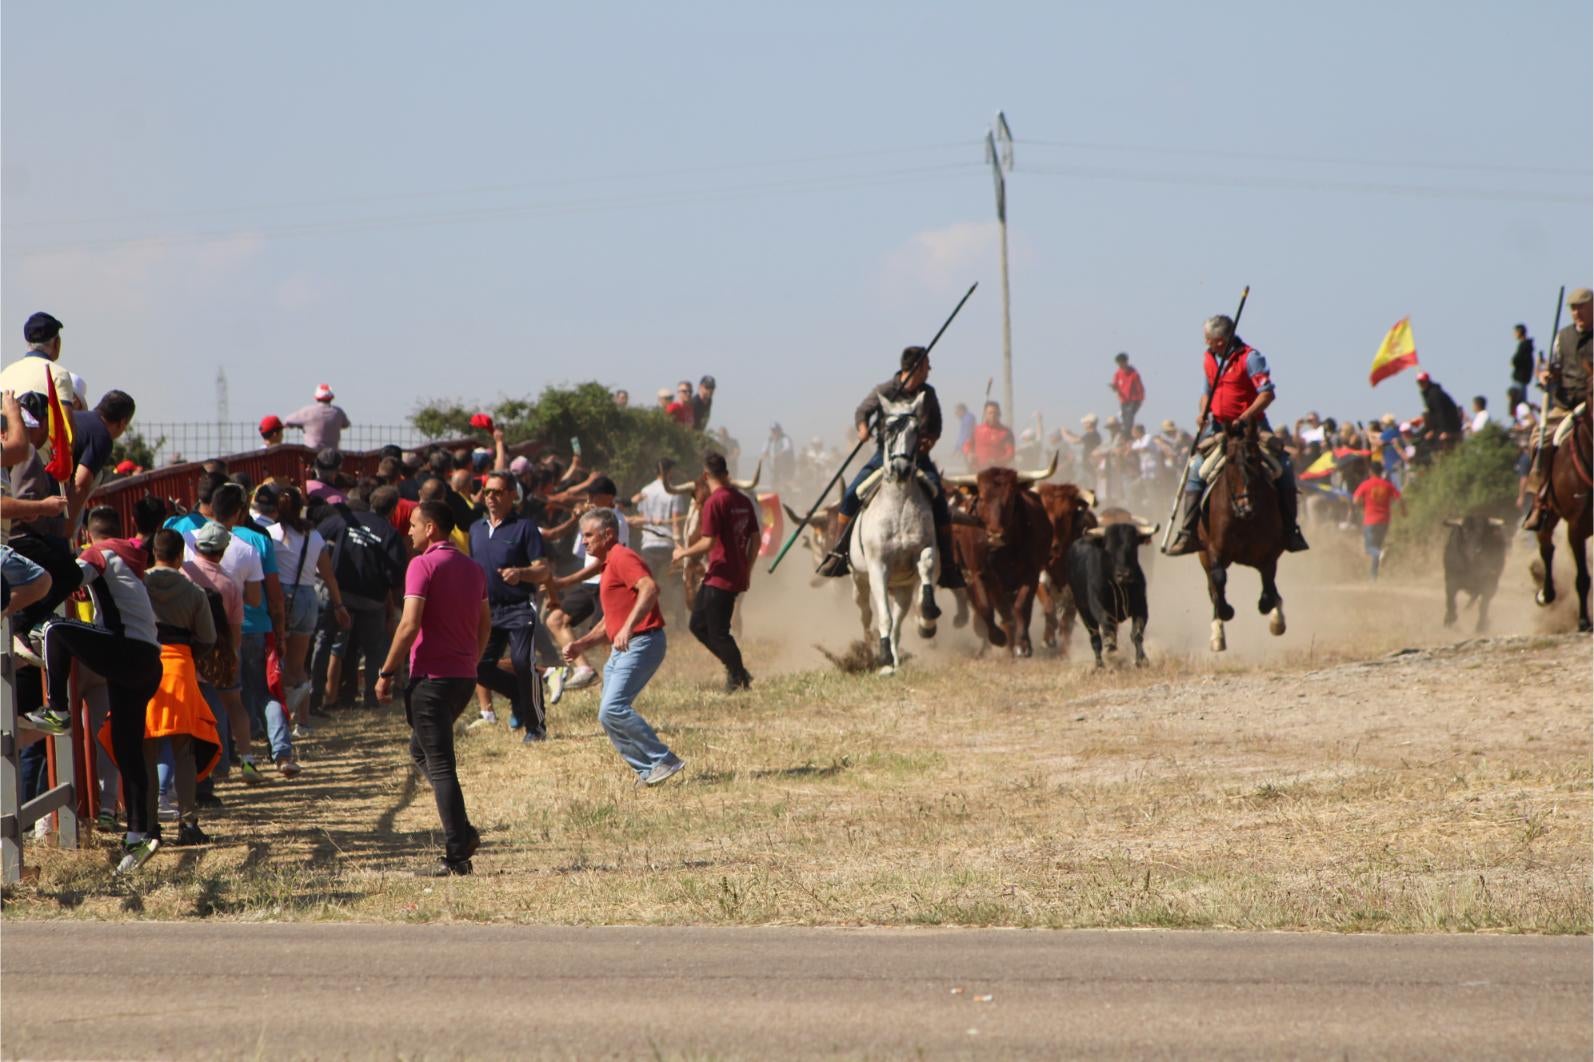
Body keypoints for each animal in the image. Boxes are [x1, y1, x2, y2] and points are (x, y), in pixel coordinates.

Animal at [854, 389, 937, 669]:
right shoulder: (878, 566)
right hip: (860, 581)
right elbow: (884, 618)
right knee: (867, 614)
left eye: (916, 430)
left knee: (898, 625)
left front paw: (928, 613)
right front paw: (884, 661)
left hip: (902, 589)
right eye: (887, 430)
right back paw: (873, 651)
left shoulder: (924, 549)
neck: (898, 506)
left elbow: (926, 563)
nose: (901, 469)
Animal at [943, 452, 1058, 653]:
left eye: (1011, 498)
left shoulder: (1031, 574)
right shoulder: (979, 573)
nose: (995, 535)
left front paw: (1023, 644)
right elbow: (986, 607)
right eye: (981, 497)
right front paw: (998, 637)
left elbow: (1021, 606)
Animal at [1032, 481, 1096, 653]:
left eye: (1067, 513)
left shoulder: (1075, 591)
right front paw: (1048, 639)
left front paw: (1065, 651)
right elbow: (1049, 607)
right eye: (1042, 511)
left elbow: (1067, 621)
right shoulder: (1039, 579)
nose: (1051, 545)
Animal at [1198, 417, 1287, 650]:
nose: (1245, 506)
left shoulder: (1269, 553)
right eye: (1229, 460)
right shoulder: (1213, 550)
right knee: (1212, 587)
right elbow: (1218, 579)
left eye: (1254, 458)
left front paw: (1274, 616)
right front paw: (1225, 613)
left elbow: (1268, 585)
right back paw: (1217, 634)